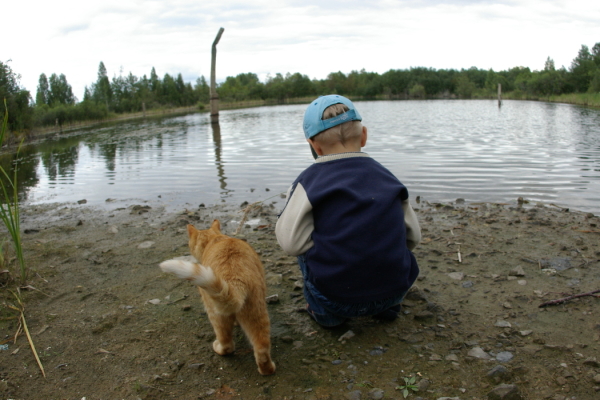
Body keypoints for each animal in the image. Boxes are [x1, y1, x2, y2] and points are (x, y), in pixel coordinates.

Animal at [157, 219, 274, 376]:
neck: (215, 239)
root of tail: (234, 280)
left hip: (215, 313)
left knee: (227, 344)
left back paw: (218, 347)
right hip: (256, 313)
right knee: (262, 348)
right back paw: (267, 369)